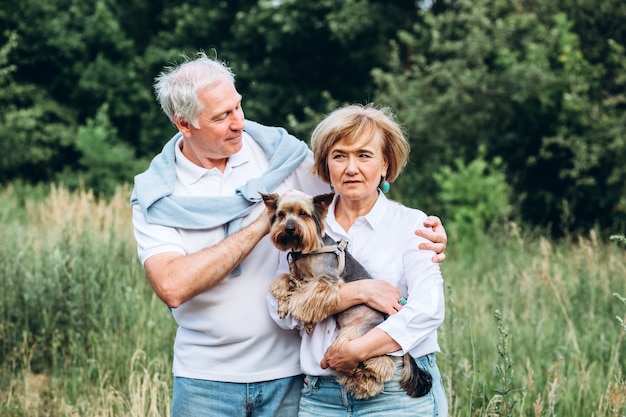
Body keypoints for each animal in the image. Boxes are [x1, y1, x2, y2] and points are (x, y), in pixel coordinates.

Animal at [258, 190, 428, 398]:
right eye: (281, 215)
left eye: (302, 214)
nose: (289, 228)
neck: (306, 251)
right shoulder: (297, 276)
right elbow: (285, 281)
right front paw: (285, 307)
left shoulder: (326, 281)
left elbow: (304, 298)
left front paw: (302, 315)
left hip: (359, 333)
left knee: (380, 360)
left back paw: (366, 379)